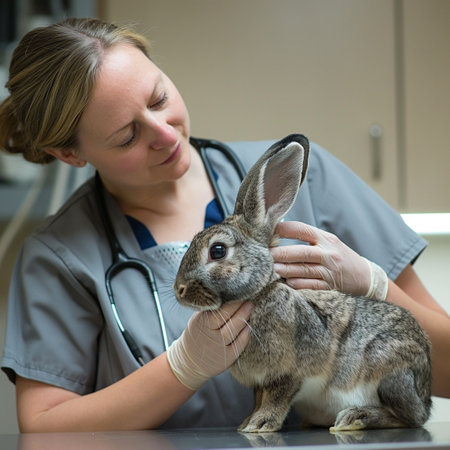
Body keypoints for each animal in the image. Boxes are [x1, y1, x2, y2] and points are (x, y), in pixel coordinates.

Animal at [174, 134, 432, 433]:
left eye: (217, 251)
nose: (179, 290)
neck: (261, 293)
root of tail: (426, 393)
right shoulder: (259, 382)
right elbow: (259, 398)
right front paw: (247, 423)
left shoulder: (288, 372)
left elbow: (277, 397)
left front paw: (261, 424)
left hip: (391, 374)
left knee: (411, 418)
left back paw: (356, 417)